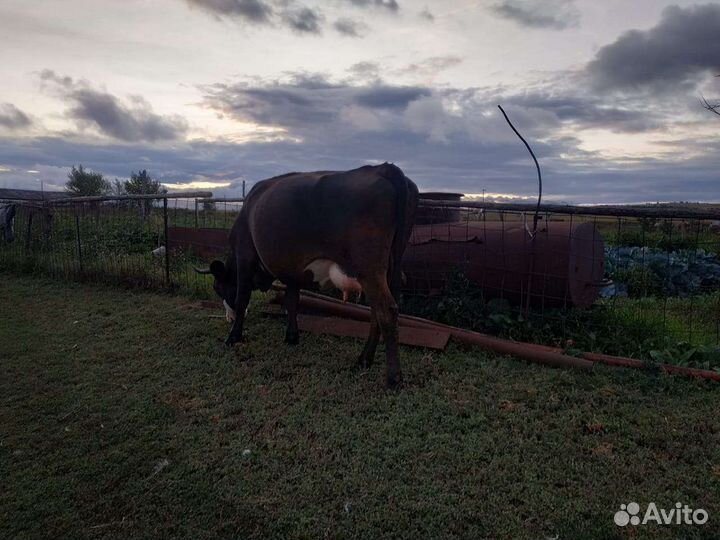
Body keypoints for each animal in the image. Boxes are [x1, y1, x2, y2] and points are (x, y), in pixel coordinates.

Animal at [195, 163, 419, 388]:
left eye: (217, 288)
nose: (229, 318)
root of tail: (381, 168)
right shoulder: (293, 271)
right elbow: (292, 301)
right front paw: (292, 336)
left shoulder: (245, 256)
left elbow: (242, 299)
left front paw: (233, 337)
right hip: (387, 266)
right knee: (376, 312)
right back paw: (364, 360)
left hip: (369, 268)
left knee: (386, 311)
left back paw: (393, 377)